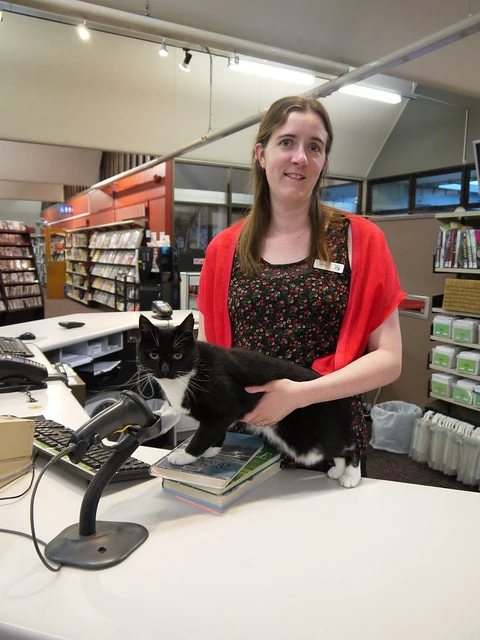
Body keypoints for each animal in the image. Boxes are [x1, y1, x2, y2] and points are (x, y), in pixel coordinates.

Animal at [136, 312, 360, 488]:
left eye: (178, 354)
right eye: (153, 355)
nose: (164, 369)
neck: (188, 375)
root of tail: (341, 399)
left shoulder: (225, 404)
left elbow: (202, 435)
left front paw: (184, 455)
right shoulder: (219, 418)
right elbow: (215, 431)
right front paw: (213, 450)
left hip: (309, 437)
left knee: (348, 444)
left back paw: (351, 476)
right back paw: (338, 471)